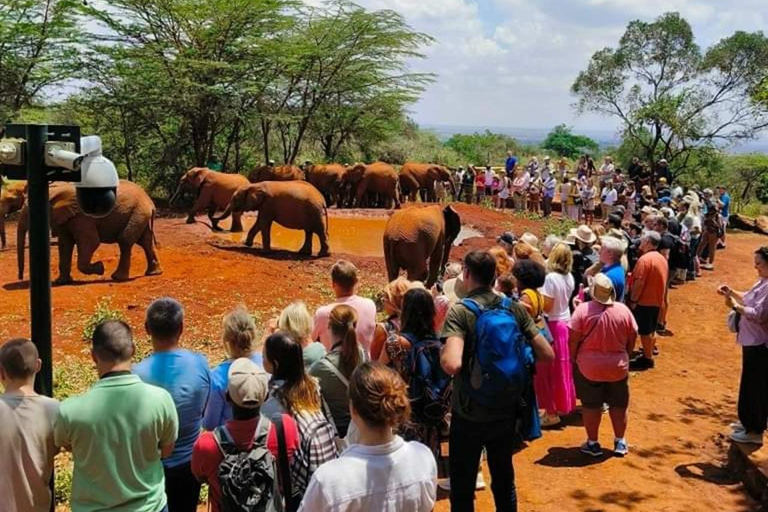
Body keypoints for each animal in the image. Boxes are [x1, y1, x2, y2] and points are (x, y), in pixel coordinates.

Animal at [16, 180, 161, 284]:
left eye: (30, 214)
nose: (21, 277)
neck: (58, 189)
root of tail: (150, 202)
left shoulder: (83, 217)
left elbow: (91, 242)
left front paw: (101, 268)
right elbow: (65, 245)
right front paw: (61, 282)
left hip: (138, 212)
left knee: (125, 240)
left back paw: (118, 278)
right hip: (141, 214)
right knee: (145, 242)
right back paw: (154, 273)